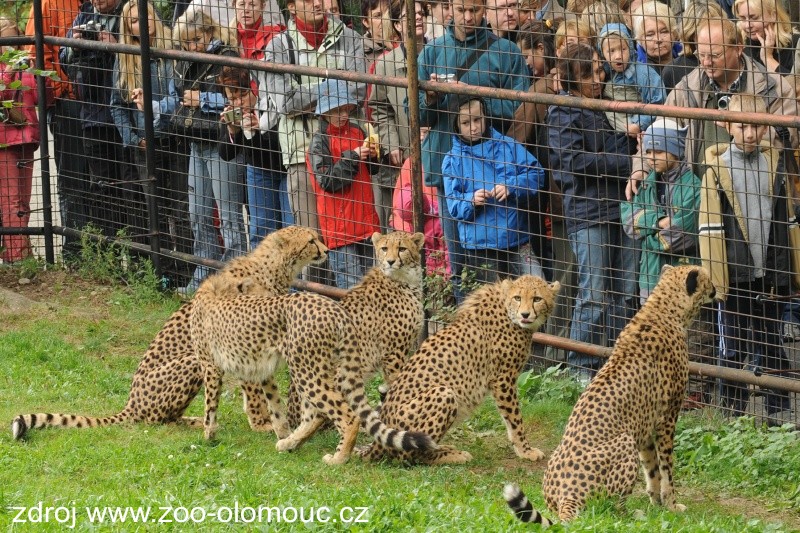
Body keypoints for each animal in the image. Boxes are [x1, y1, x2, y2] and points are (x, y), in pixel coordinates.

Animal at [10, 225, 326, 440]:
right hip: (192, 363)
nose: (326, 250)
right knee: (155, 420)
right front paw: (261, 423)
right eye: (311, 240)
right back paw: (196, 423)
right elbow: (255, 391)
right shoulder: (239, 345)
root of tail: (131, 402)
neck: (273, 268)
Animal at [190, 268, 434, 464]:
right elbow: (276, 407)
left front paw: (208, 436)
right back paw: (290, 443)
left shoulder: (210, 366)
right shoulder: (265, 373)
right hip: (312, 368)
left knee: (347, 416)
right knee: (314, 415)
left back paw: (339, 458)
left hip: (307, 371)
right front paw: (282, 433)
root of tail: (333, 307)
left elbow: (209, 405)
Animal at [286, 231, 428, 426]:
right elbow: (395, 380)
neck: (403, 279)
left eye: (402, 248)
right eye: (384, 248)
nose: (390, 261)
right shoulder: (393, 352)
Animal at [360, 274, 560, 462]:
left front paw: (520, 448)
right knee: (411, 455)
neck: (507, 309)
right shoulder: (503, 379)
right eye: (518, 297)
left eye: (537, 298)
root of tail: (374, 445)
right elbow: (515, 418)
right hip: (444, 393)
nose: (525, 315)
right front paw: (526, 450)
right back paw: (450, 455)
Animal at [504, 264, 716, 520]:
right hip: (624, 441)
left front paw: (657, 503)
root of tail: (566, 496)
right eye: (708, 279)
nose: (716, 290)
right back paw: (633, 514)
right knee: (610, 509)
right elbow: (667, 469)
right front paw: (672, 505)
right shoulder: (666, 418)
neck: (663, 309)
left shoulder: (645, 427)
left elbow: (652, 469)